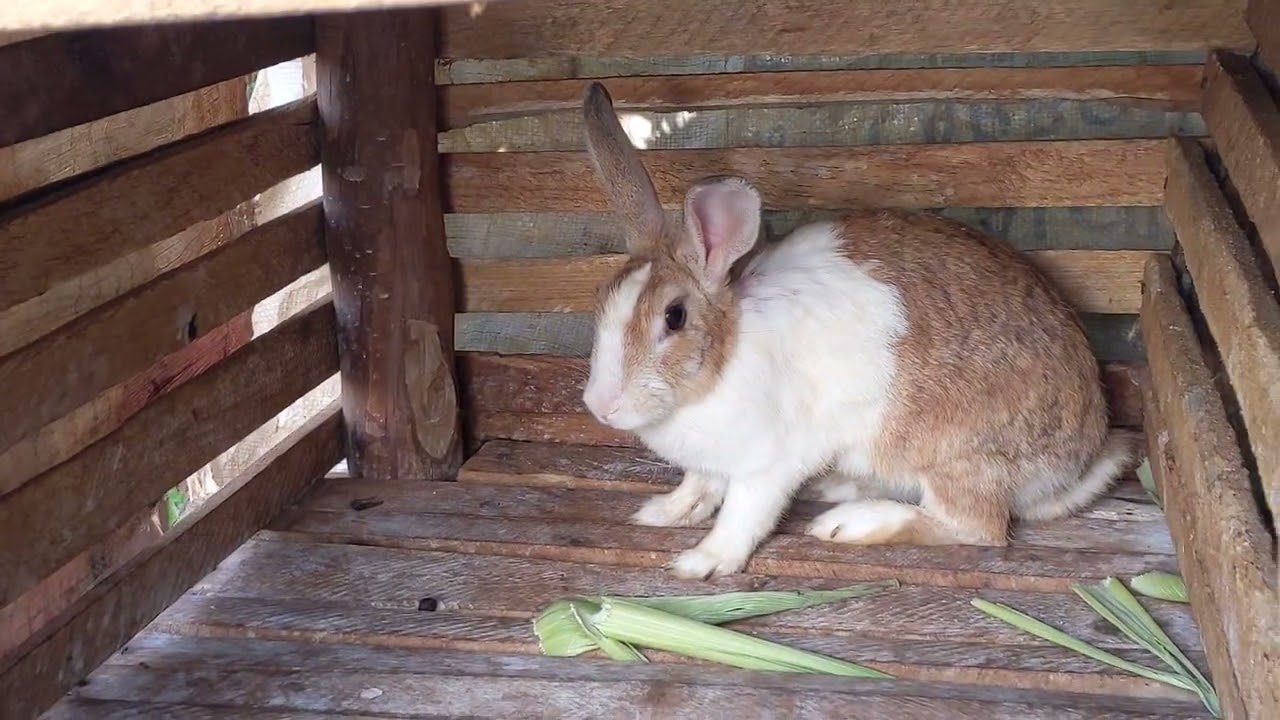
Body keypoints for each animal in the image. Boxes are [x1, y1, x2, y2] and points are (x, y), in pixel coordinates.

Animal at [577, 81, 1141, 580]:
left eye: (673, 317)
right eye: (601, 301)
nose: (601, 406)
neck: (720, 362)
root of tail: (1079, 462)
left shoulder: (768, 463)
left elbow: (743, 515)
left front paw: (703, 561)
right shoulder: (709, 464)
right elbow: (698, 487)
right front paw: (661, 513)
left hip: (956, 460)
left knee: (976, 527)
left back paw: (848, 524)